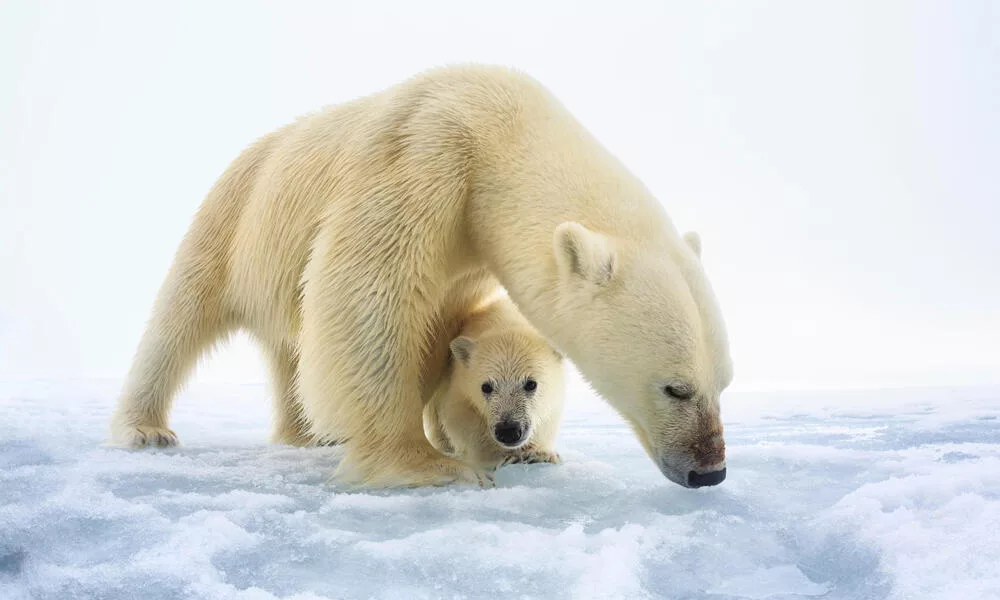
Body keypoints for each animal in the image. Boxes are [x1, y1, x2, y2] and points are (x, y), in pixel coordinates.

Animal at [420, 292, 564, 472]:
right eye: (486, 387)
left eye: (531, 384)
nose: (508, 431)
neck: (506, 321)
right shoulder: (460, 384)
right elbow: (462, 418)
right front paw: (502, 457)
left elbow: (547, 419)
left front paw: (540, 454)